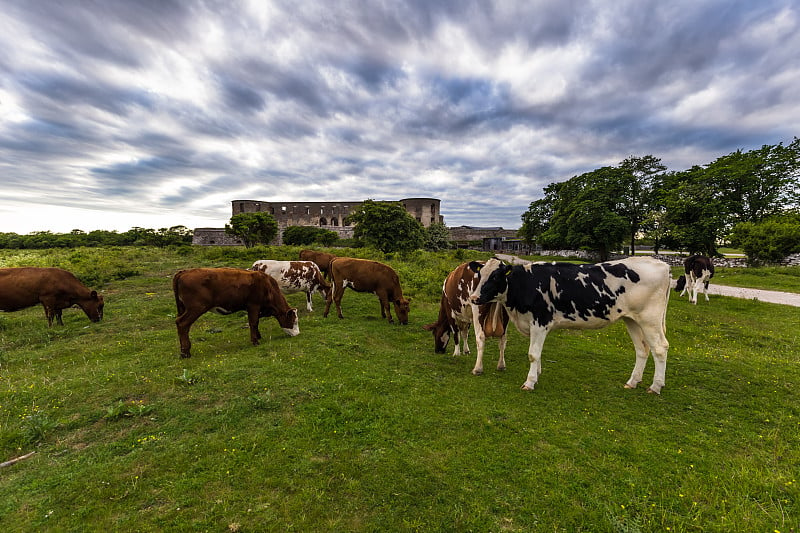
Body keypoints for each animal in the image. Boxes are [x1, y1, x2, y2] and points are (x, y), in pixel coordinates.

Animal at [468, 256, 668, 392]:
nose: (474, 298)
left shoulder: (540, 321)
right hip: (632, 319)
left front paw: (530, 382)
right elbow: (538, 353)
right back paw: (632, 382)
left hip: (650, 319)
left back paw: (656, 386)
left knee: (660, 348)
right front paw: (537, 375)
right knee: (642, 349)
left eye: (495, 277)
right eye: (479, 274)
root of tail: (660, 264)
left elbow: (533, 354)